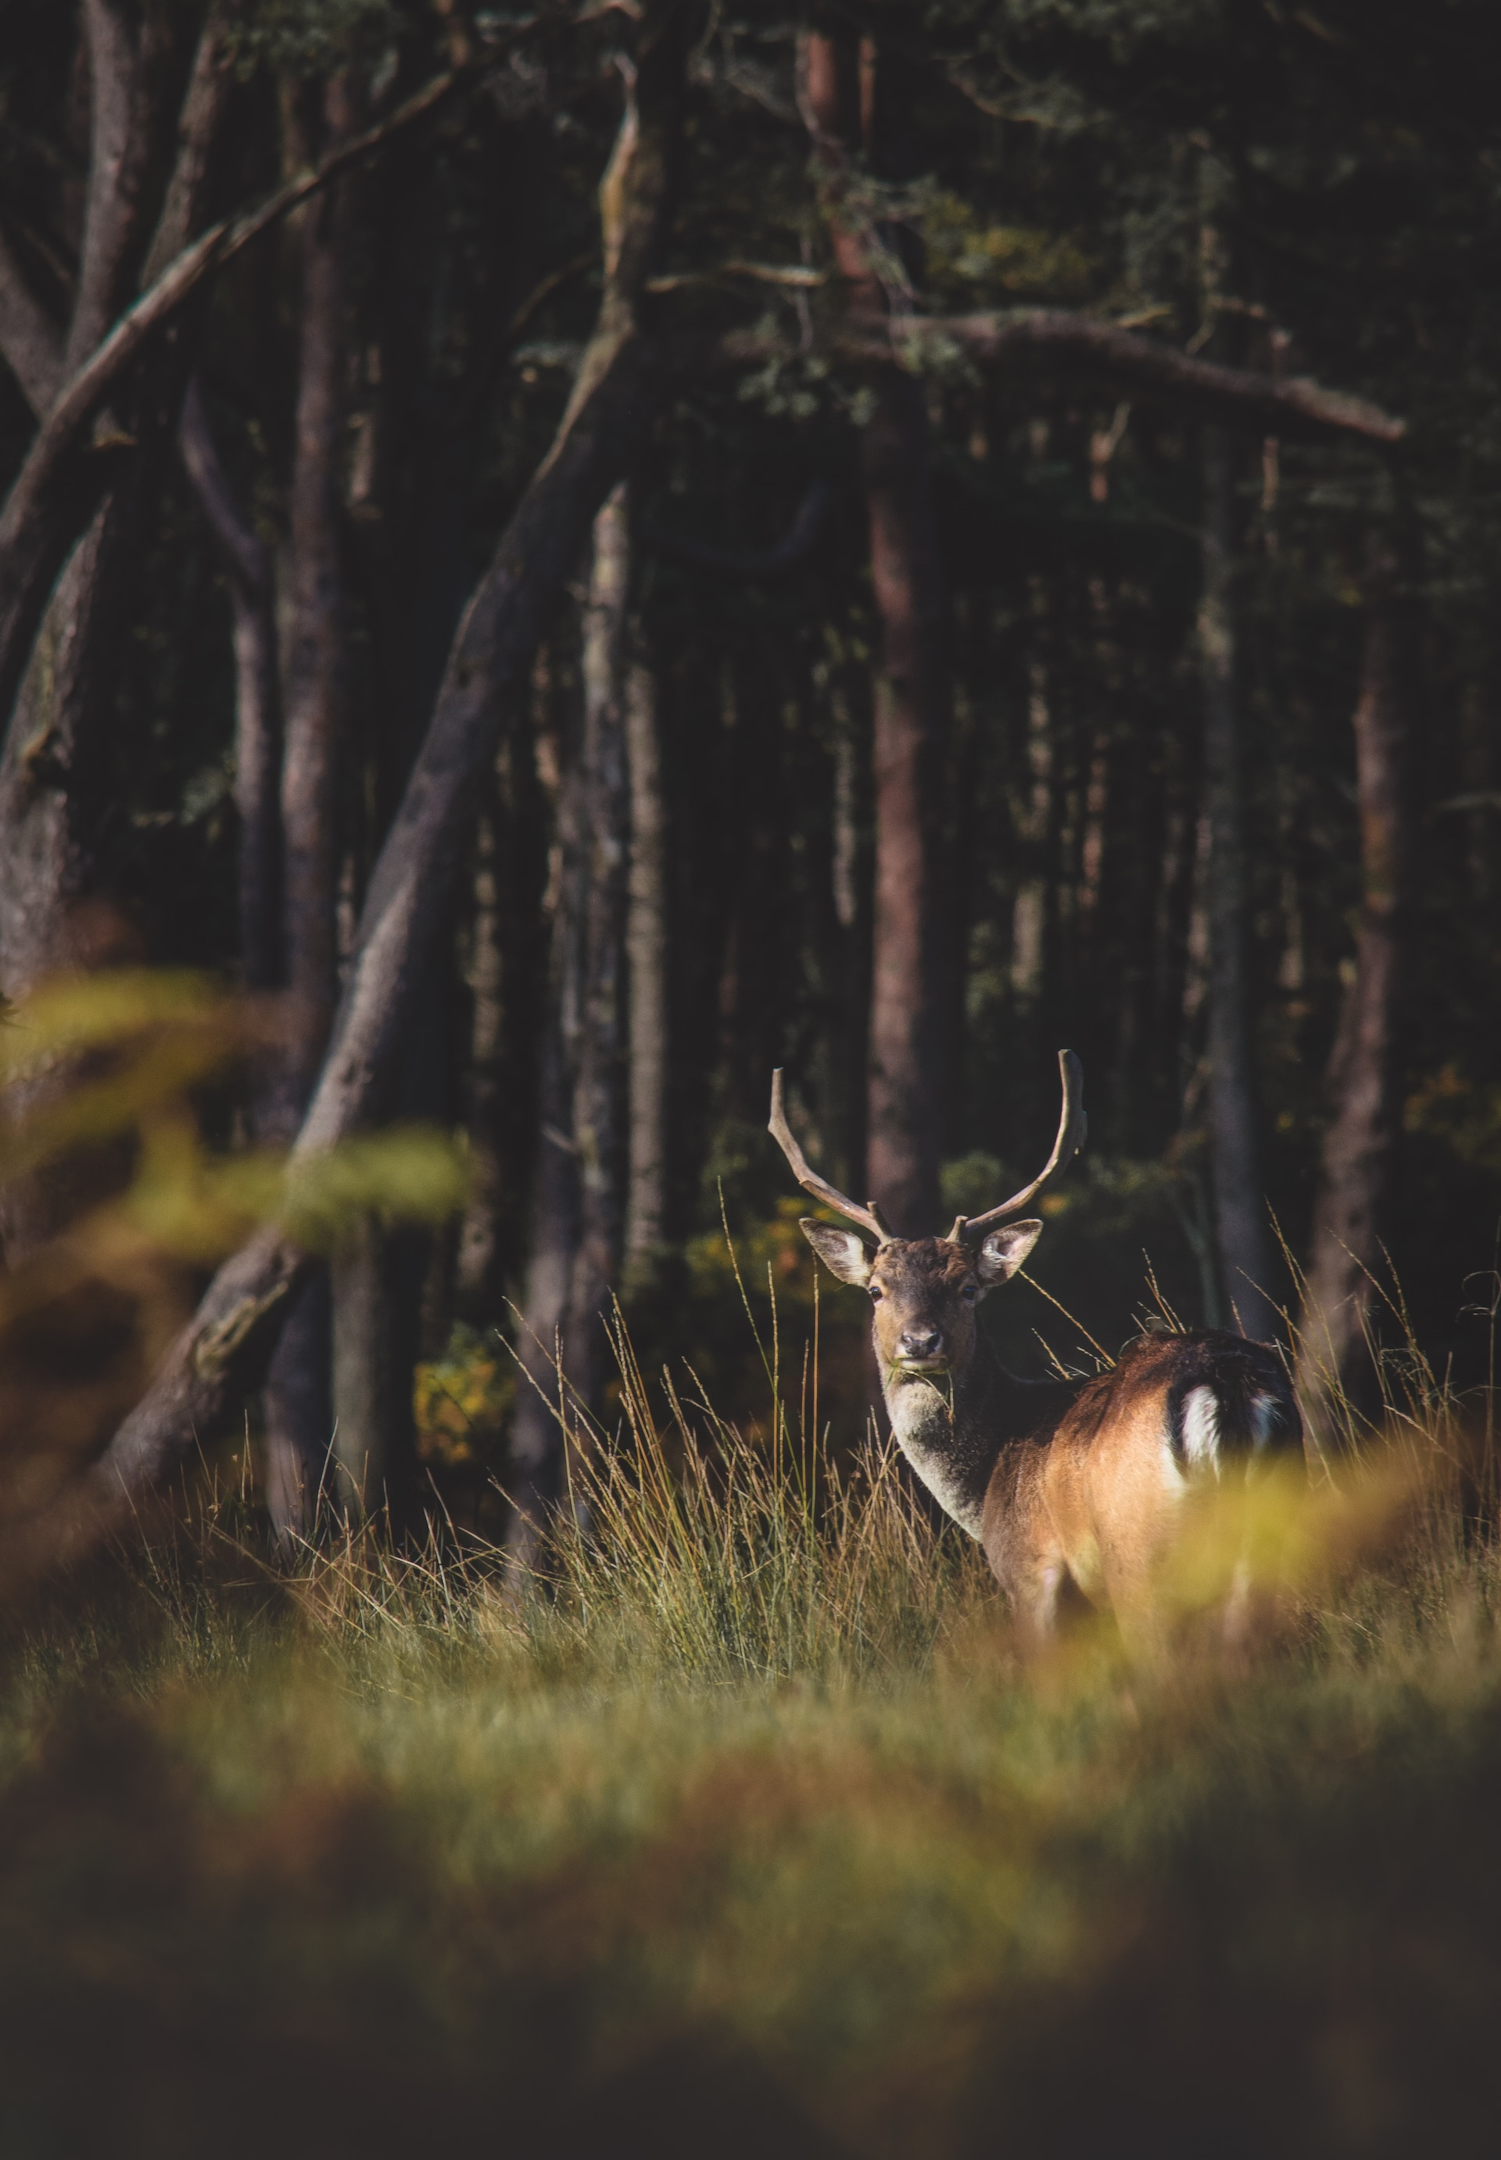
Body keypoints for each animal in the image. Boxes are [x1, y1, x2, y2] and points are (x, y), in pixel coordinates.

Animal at [769, 1053, 1304, 1651]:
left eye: (968, 1288)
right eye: (876, 1290)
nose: (920, 1341)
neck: (985, 1488)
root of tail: (1226, 1380)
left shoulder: (1030, 1570)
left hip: (1138, 1550)